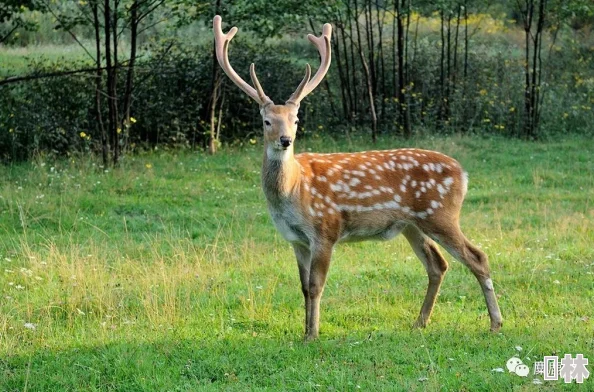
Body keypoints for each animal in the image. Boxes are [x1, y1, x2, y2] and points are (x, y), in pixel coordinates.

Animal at [212, 15, 500, 340]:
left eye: (296, 119)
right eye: (266, 121)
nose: (285, 140)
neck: (293, 191)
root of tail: (462, 173)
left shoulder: (325, 229)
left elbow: (316, 286)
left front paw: (312, 335)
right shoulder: (296, 240)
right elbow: (303, 288)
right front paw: (305, 331)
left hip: (440, 214)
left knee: (477, 257)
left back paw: (495, 323)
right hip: (412, 224)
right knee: (437, 264)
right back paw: (420, 322)